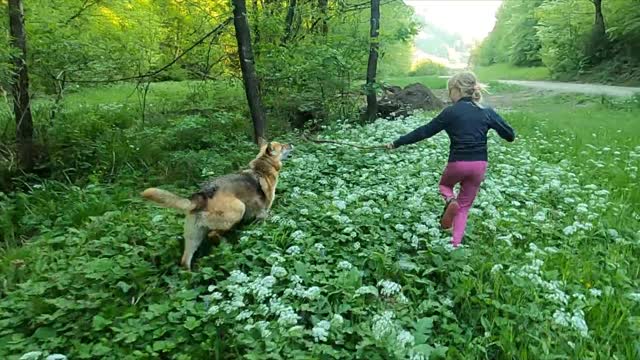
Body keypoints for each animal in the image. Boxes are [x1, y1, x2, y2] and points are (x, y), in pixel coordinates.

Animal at [141, 141, 294, 270]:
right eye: (282, 146)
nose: (291, 144)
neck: (263, 165)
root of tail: (202, 196)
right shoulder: (263, 212)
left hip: (193, 237)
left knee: (185, 261)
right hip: (239, 209)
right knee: (213, 234)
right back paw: (226, 244)